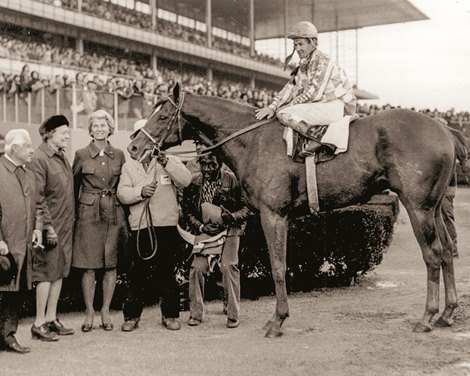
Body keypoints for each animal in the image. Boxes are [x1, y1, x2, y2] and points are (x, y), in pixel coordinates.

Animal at [126, 83, 468, 338]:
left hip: (418, 207)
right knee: (447, 250)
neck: (252, 139)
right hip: (436, 207)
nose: (133, 147)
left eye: (162, 115)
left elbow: (278, 266)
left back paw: (426, 317)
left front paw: (277, 321)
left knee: (433, 255)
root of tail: (445, 129)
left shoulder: (273, 214)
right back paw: (446, 314)